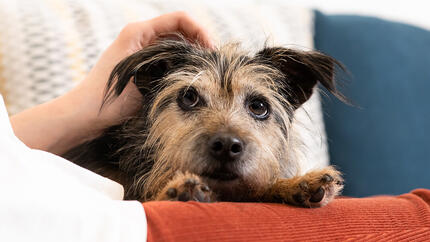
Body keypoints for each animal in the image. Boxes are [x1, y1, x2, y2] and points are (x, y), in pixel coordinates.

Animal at [64, 35, 346, 207]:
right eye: (189, 97)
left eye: (259, 107)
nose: (227, 146)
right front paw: (175, 192)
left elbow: (257, 187)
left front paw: (297, 184)